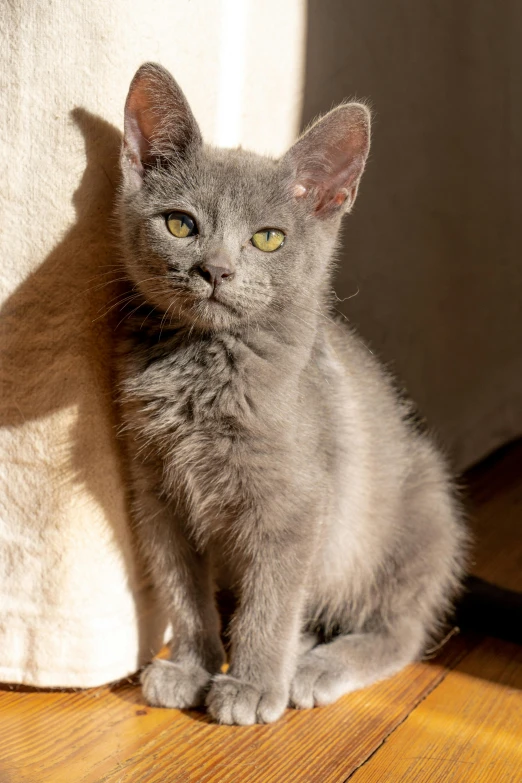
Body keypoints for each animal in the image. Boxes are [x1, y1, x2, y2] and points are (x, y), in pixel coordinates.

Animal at [116, 64, 466, 724]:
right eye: (180, 224)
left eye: (269, 239)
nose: (215, 270)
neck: (203, 370)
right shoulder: (158, 497)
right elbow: (184, 590)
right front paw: (193, 666)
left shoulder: (296, 507)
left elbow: (271, 600)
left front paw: (252, 685)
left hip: (419, 523)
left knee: (400, 631)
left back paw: (315, 667)